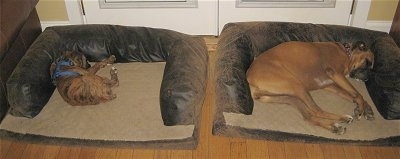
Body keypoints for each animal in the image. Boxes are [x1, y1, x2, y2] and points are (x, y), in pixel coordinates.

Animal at [247, 41, 376, 134]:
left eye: (371, 68)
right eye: (367, 62)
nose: (367, 79)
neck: (346, 52)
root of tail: (249, 78)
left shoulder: (330, 85)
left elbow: (351, 95)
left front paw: (367, 109)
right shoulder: (335, 73)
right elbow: (358, 94)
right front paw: (360, 110)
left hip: (290, 97)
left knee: (308, 116)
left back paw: (334, 127)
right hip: (296, 85)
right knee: (316, 110)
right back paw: (342, 119)